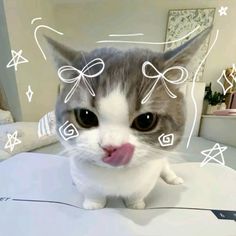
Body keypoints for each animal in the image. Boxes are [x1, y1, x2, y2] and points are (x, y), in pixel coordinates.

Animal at [45, 28, 210, 210]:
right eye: (85, 117)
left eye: (146, 120)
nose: (111, 147)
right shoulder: (82, 174)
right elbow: (92, 192)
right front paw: (94, 204)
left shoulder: (149, 176)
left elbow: (138, 193)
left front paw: (136, 205)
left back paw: (172, 178)